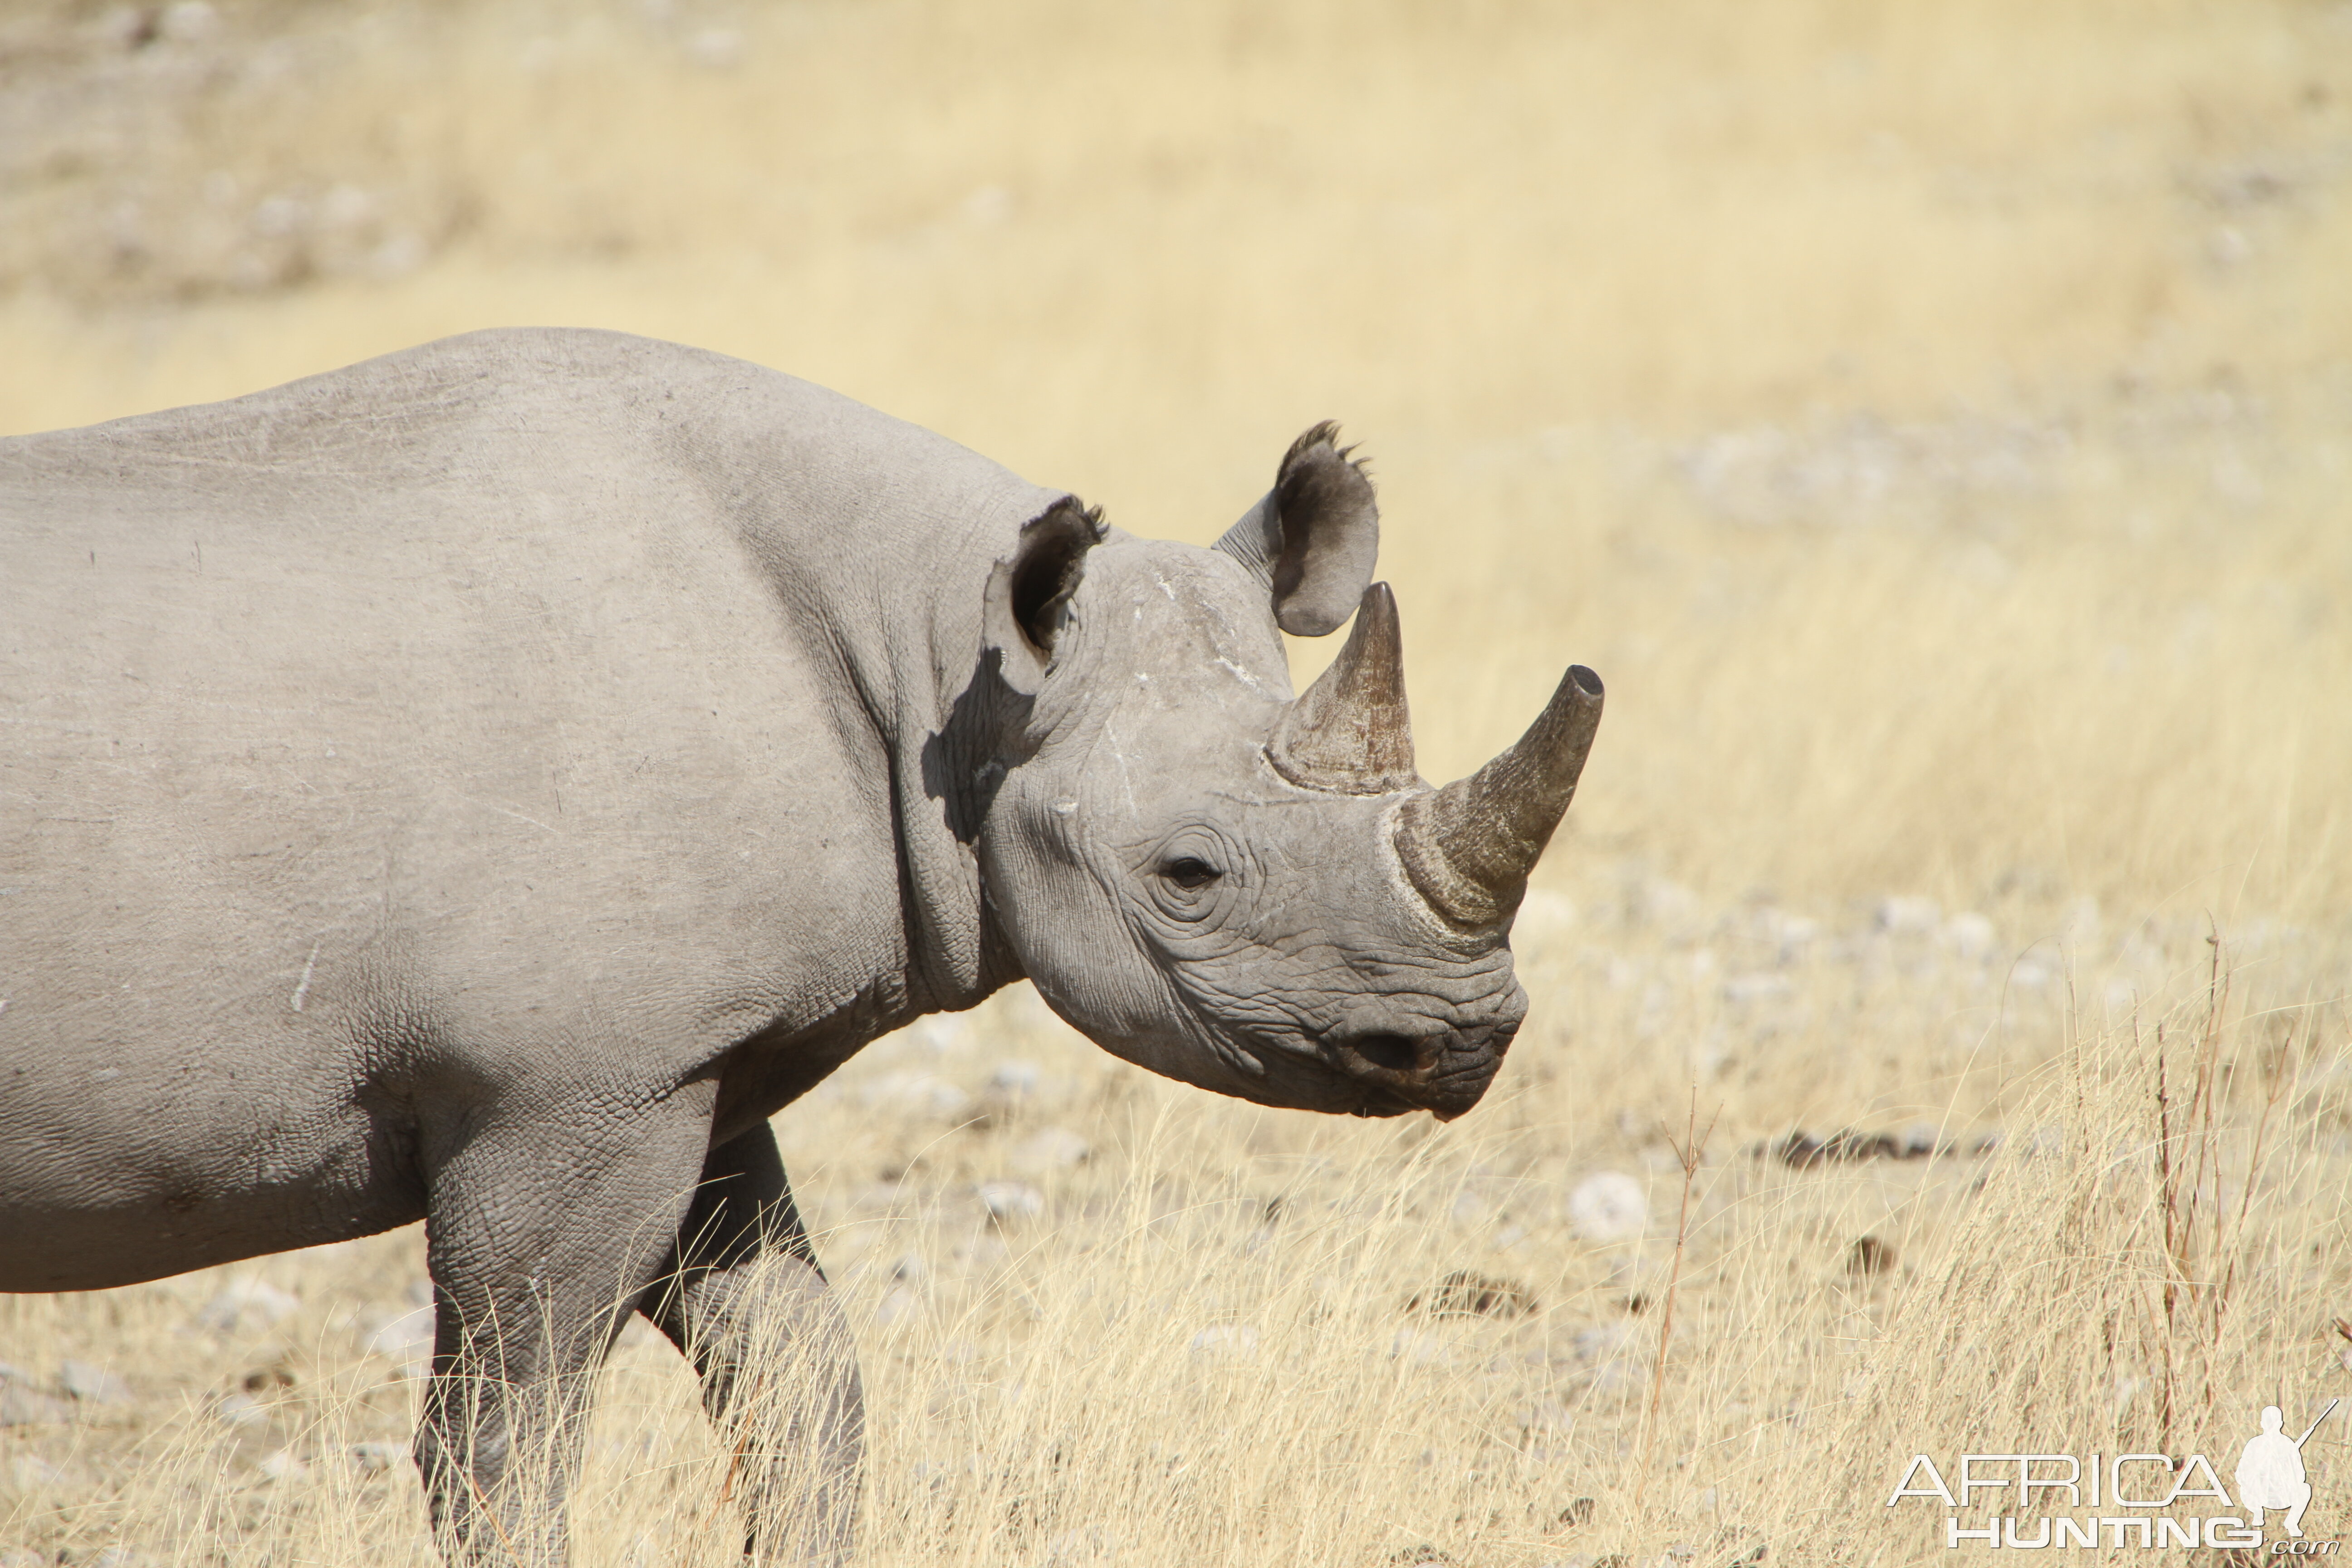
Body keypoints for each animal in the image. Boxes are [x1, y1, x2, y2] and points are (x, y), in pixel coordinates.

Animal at [0, 324, 1599, 1561]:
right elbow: (510, 1441)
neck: (948, 665)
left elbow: (799, 1380)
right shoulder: (552, 1091)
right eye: (1188, 875)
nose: (1463, 1038)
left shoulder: (678, 1069)